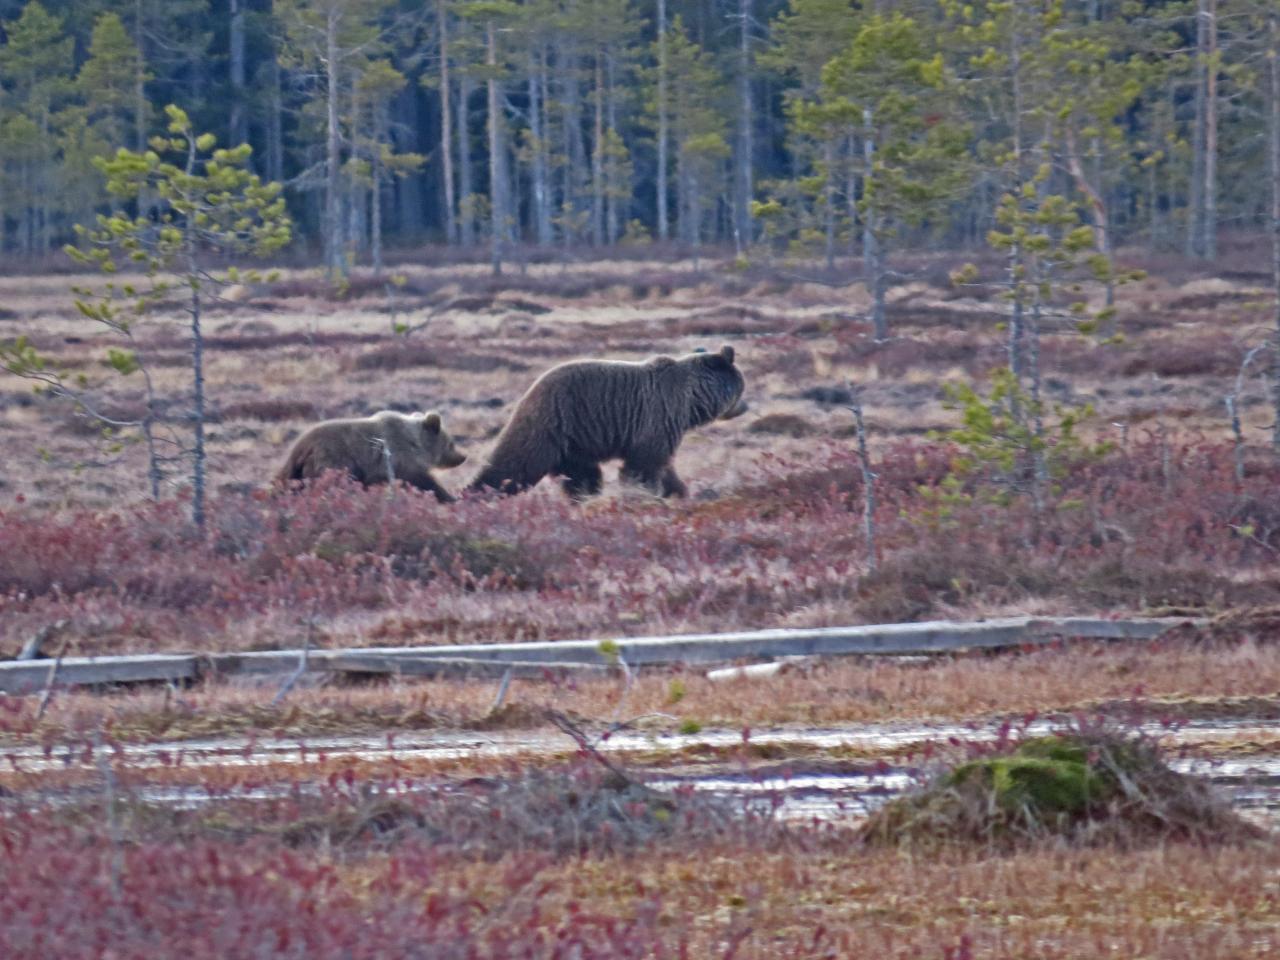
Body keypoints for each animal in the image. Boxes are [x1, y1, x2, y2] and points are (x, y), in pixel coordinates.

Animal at [277, 412, 468, 504]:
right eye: (451, 443)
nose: (463, 457)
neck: (415, 443)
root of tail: (299, 445)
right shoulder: (401, 459)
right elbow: (423, 480)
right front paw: (450, 497)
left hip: (299, 470)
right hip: (331, 460)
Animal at [471, 345, 747, 499]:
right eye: (742, 388)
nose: (745, 406)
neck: (691, 401)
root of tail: (529, 392)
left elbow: (663, 465)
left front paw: (677, 491)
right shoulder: (659, 416)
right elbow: (644, 464)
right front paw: (644, 492)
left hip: (575, 442)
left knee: (582, 476)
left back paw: (584, 496)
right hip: (552, 422)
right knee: (516, 464)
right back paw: (478, 492)